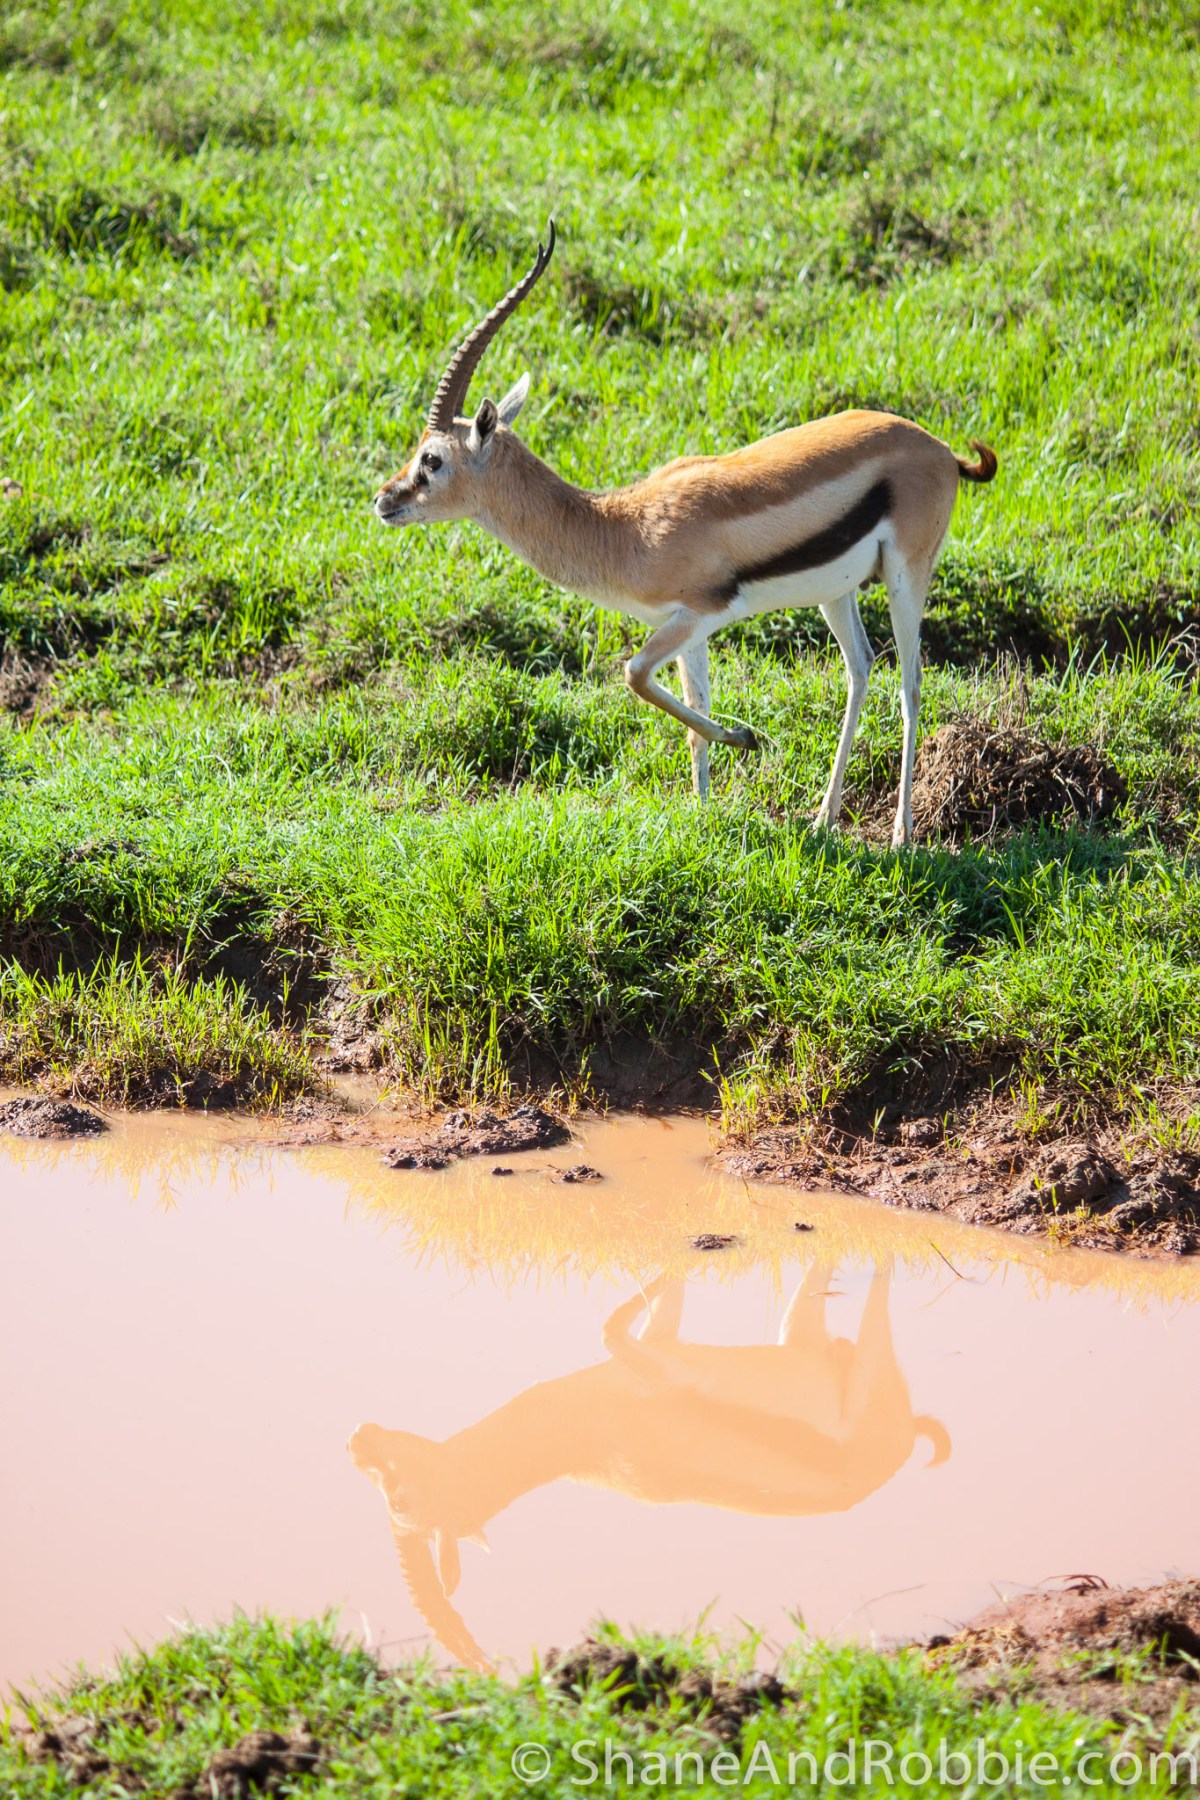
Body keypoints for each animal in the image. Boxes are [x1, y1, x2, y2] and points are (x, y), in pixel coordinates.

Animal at [349, 1264, 950, 1671]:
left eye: (399, 1499)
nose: (358, 1441)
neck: (586, 1434)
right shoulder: (659, 1343)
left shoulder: (657, 1366)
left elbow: (605, 1324)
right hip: (799, 1329)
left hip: (869, 1358)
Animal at [374, 222, 997, 847]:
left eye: (432, 459)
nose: (383, 500)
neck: (622, 528)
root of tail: (941, 450)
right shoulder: (687, 629)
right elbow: (692, 709)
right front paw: (703, 816)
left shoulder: (699, 614)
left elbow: (633, 674)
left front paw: (746, 738)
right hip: (835, 592)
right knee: (862, 668)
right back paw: (823, 818)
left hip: (905, 577)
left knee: (910, 686)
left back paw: (901, 835)